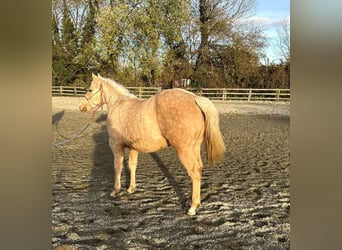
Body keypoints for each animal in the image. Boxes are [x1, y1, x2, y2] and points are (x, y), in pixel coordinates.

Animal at [79, 73, 226, 215]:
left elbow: (117, 168)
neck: (118, 104)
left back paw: (192, 207)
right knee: (199, 170)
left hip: (185, 150)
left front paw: (115, 191)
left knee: (194, 172)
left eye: (90, 89)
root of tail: (195, 98)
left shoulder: (116, 146)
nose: (81, 107)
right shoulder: (133, 148)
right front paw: (131, 188)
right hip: (194, 148)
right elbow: (132, 166)